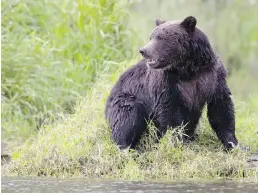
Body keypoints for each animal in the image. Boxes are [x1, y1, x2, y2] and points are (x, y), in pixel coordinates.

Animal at [104, 15, 238, 151]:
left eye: (160, 38)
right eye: (151, 37)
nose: (143, 50)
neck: (188, 70)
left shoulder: (212, 77)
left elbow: (221, 108)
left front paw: (233, 143)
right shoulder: (166, 83)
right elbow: (170, 114)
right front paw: (177, 142)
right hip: (125, 98)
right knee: (127, 116)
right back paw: (128, 147)